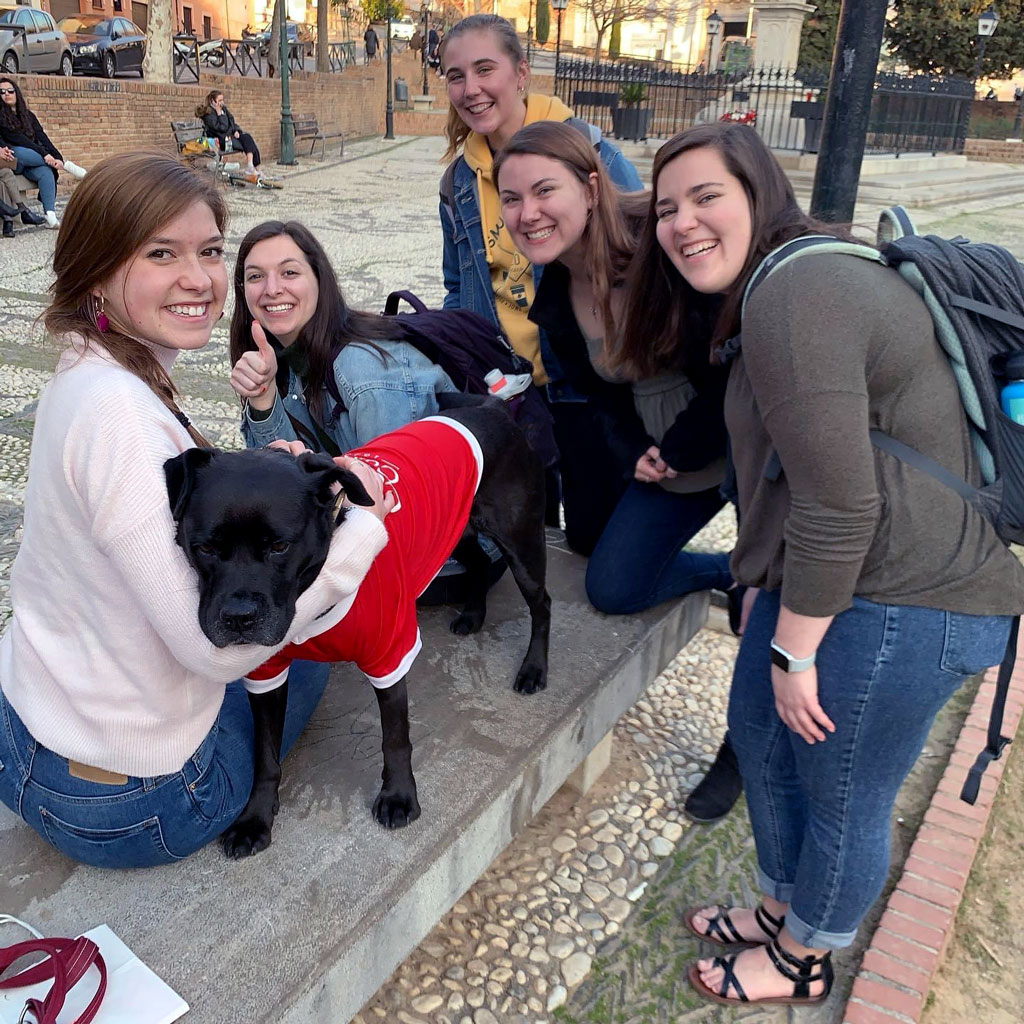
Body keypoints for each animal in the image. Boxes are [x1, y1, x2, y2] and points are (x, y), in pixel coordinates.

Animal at [163, 397, 548, 856]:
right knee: (476, 562)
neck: (313, 596)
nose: (239, 618)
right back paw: (472, 615)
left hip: (520, 543)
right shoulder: (266, 673)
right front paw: (255, 819)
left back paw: (534, 670)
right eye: (204, 548)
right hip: (460, 529)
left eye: (279, 546)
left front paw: (399, 797)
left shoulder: (390, 656)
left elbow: (395, 738)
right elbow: (265, 754)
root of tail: (490, 405)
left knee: (541, 603)